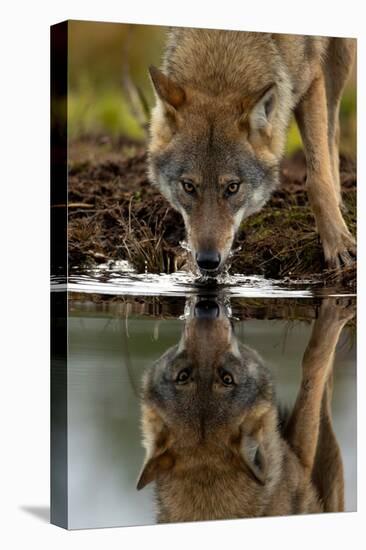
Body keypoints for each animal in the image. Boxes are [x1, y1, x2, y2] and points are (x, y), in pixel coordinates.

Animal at [136, 300, 354, 524]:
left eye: (183, 376)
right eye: (228, 378)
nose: (206, 308)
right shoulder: (302, 457)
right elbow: (314, 365)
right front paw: (336, 311)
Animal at [147, 29, 354, 274]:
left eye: (232, 187)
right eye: (188, 186)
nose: (207, 260)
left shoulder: (311, 79)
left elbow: (317, 181)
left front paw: (338, 243)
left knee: (333, 130)